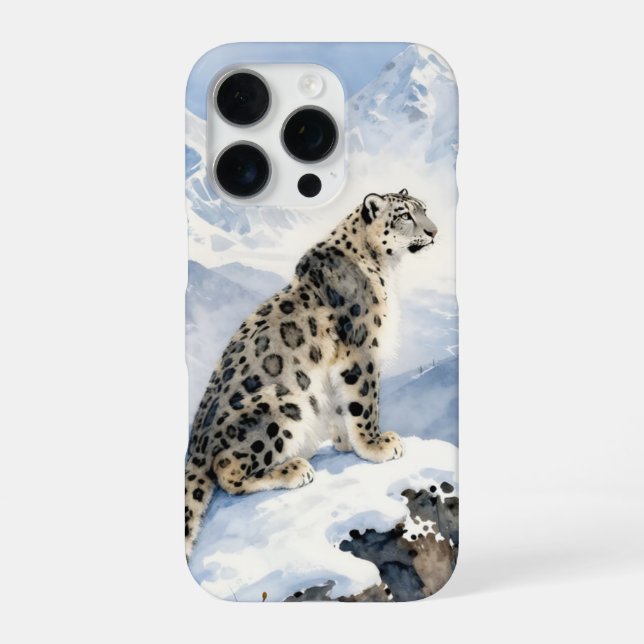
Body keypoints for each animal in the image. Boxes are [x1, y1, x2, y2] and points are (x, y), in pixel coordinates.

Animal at [185, 189, 438, 557]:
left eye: (425, 209)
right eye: (404, 215)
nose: (434, 231)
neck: (386, 269)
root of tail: (196, 446)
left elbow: (342, 406)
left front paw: (347, 442)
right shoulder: (361, 350)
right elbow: (366, 402)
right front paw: (376, 445)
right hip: (281, 403)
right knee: (227, 472)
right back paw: (294, 469)